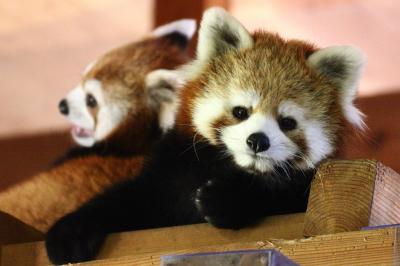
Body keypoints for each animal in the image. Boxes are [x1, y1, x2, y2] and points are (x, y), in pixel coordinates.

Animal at [43, 6, 366, 264]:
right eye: (240, 111)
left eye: (287, 122)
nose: (258, 141)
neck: (231, 167)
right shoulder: (168, 174)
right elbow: (127, 199)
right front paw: (69, 233)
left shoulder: (300, 192)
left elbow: (277, 194)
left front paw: (225, 198)